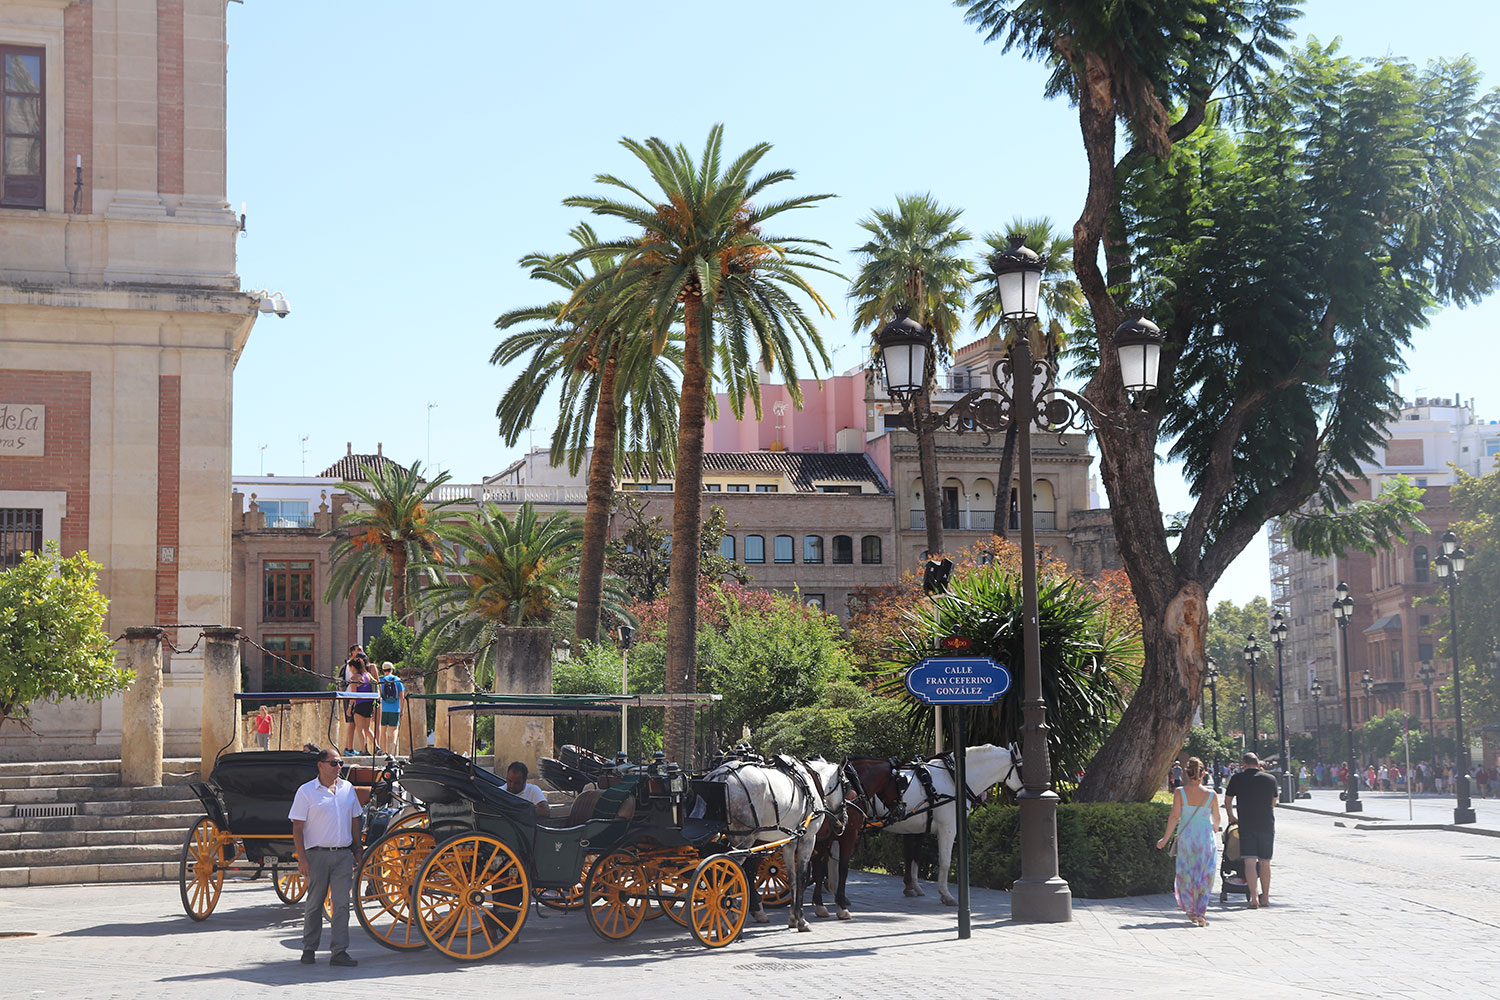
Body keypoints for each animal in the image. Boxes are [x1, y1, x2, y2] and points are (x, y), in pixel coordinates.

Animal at [705, 758, 846, 929]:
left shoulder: (790, 842)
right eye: (846, 785)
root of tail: (720, 775)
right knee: (730, 874)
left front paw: (793, 918)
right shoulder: (808, 839)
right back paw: (732, 916)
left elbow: (792, 878)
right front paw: (801, 919)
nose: (842, 820)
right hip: (744, 840)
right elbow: (802, 876)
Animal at [810, 761, 900, 917]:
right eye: (899, 781)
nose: (901, 808)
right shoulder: (849, 835)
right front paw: (840, 904)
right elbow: (842, 868)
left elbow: (820, 868)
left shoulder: (827, 838)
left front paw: (820, 903)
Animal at [864, 743, 1026, 905]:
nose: (1023, 796)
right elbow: (944, 861)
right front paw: (945, 894)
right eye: (1024, 770)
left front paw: (913, 886)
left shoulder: (915, 829)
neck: (954, 779)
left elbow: (914, 856)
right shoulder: (947, 828)